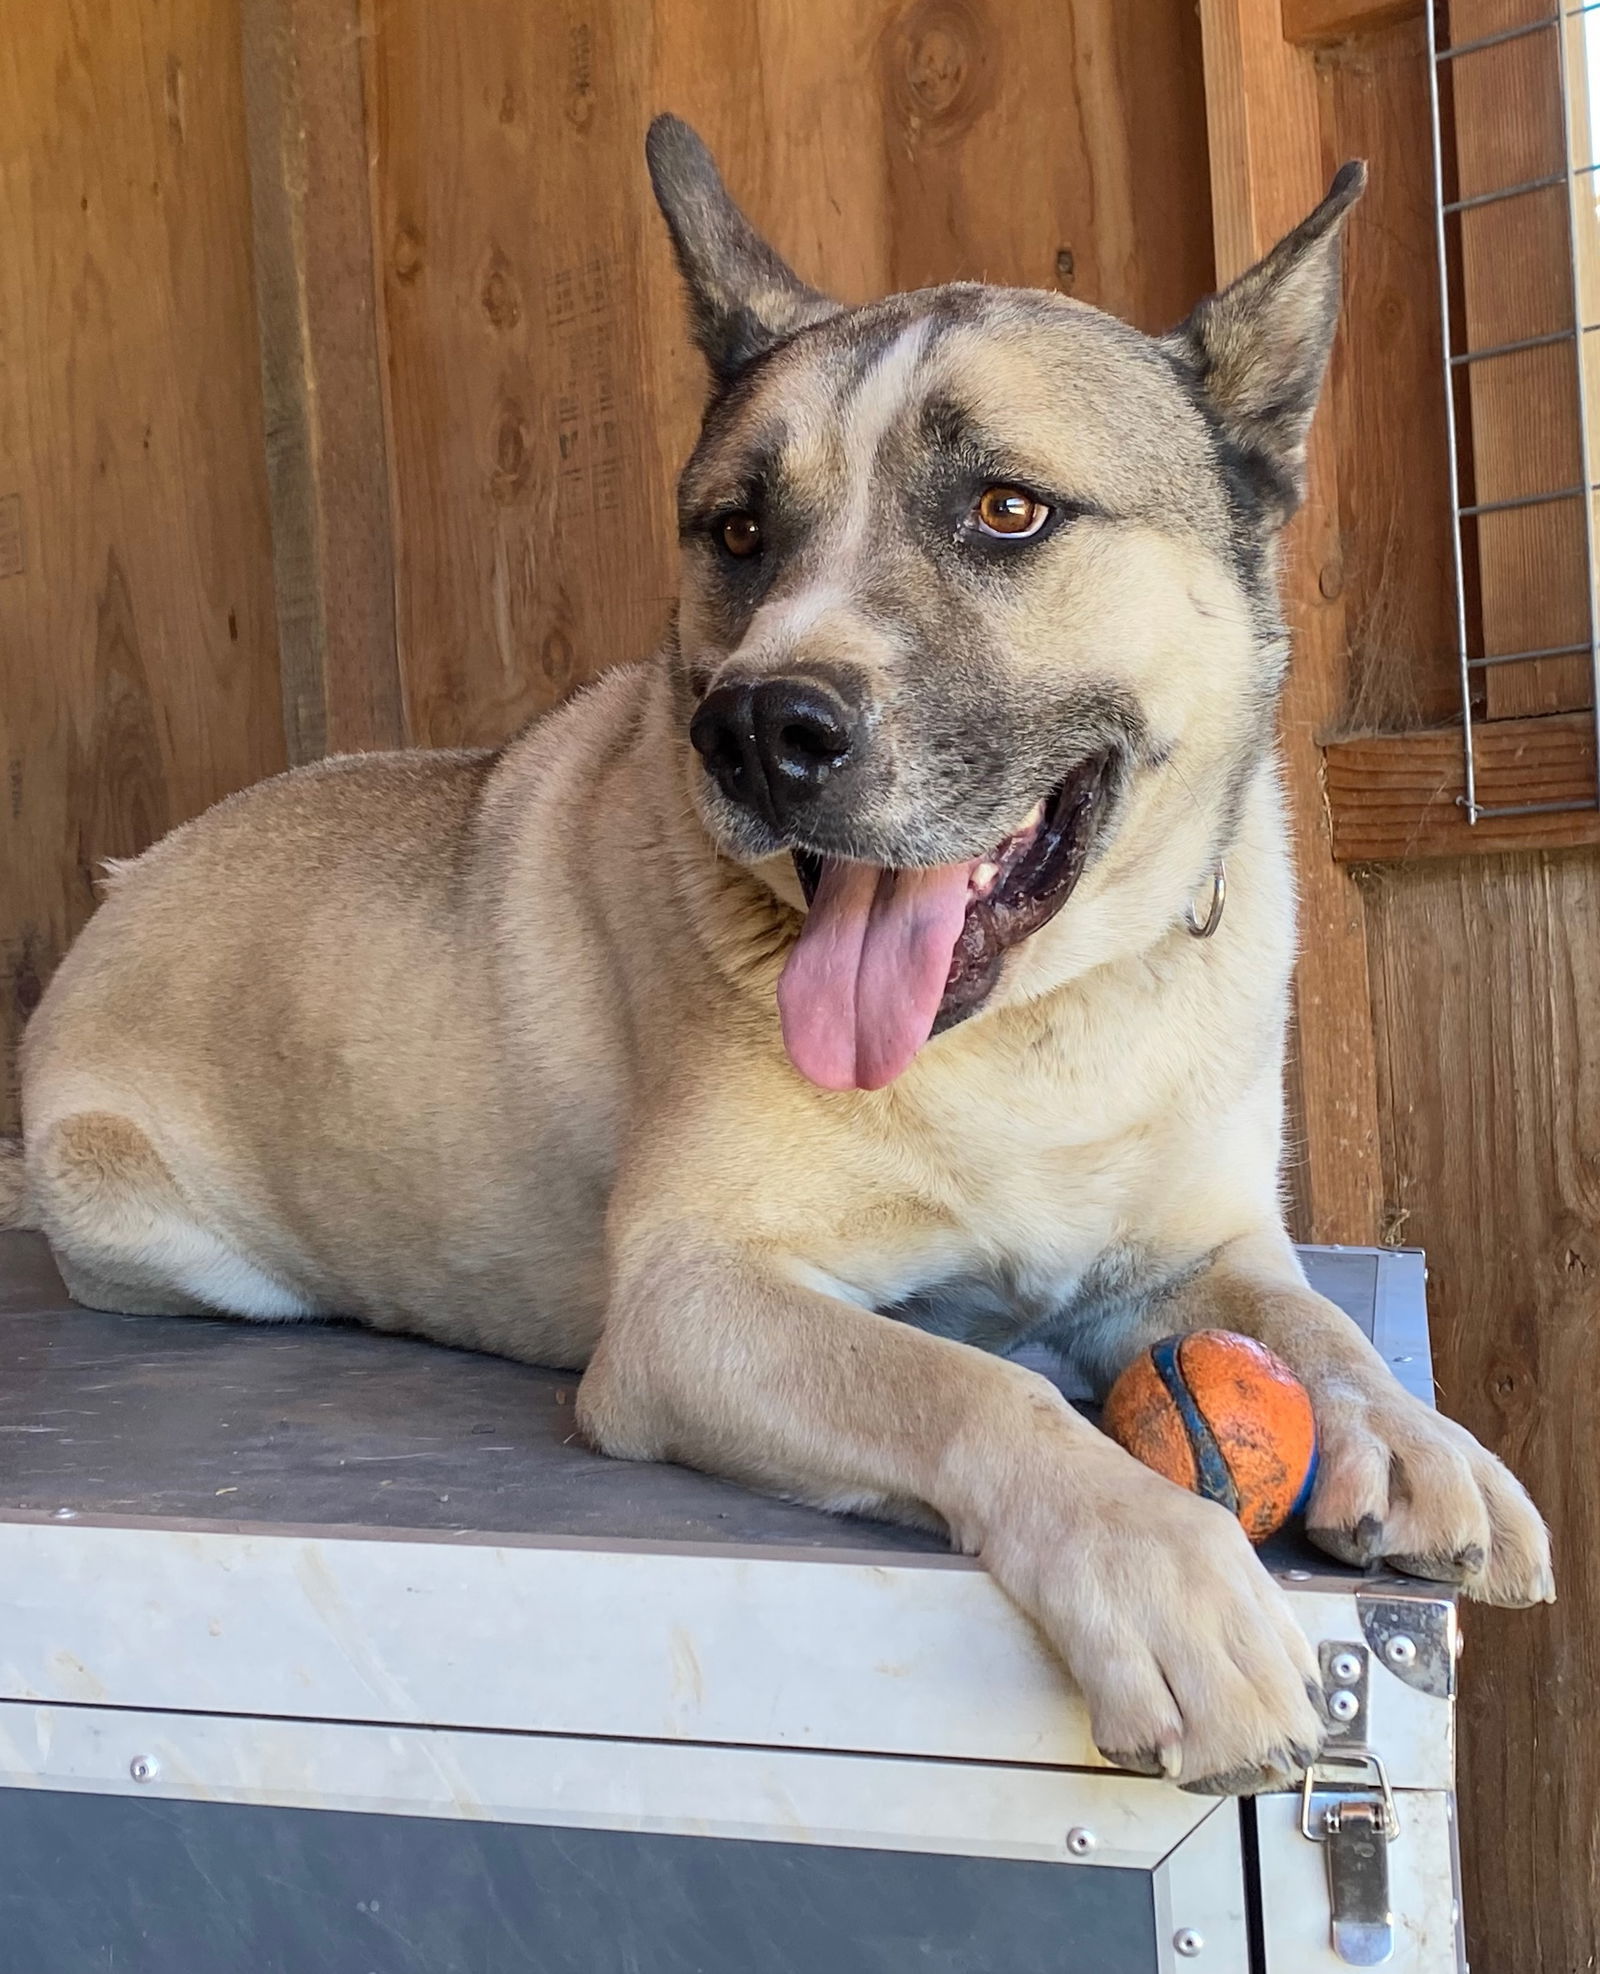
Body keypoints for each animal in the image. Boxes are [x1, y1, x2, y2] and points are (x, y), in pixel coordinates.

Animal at [3, 115, 1554, 1800]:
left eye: (1007, 510)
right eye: (737, 531)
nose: (754, 728)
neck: (1036, 1030)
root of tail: (129, 872)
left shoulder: (1197, 1252)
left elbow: (1317, 1321)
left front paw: (1412, 1436)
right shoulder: (693, 1304)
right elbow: (974, 1378)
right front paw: (1162, 1565)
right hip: (154, 1219)